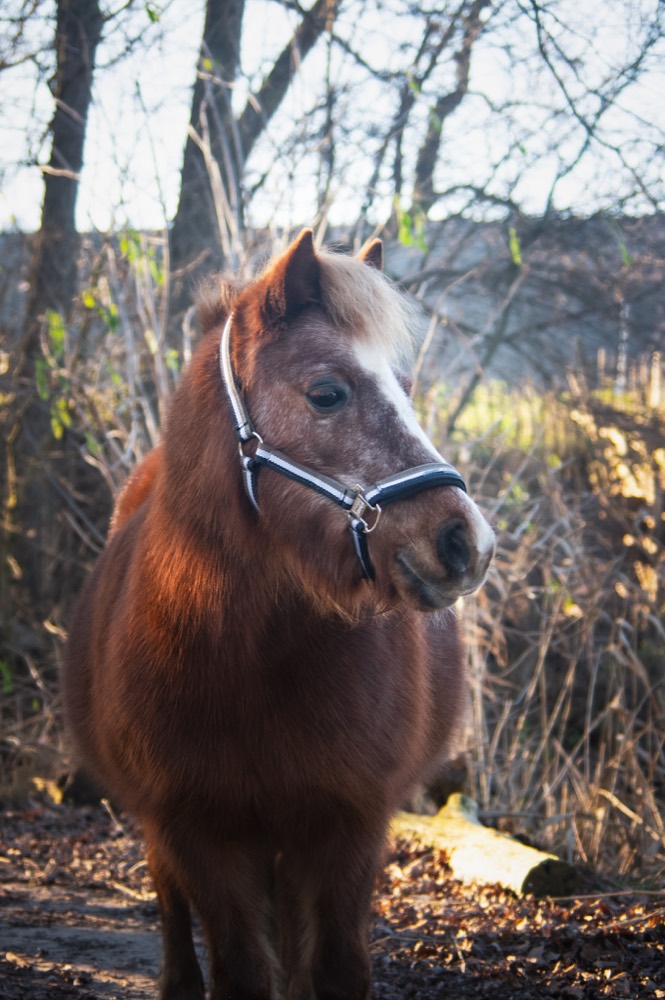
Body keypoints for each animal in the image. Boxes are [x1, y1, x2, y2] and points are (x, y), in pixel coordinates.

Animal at [62, 229, 494, 1000]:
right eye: (326, 393)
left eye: (407, 391)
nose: (465, 541)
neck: (246, 657)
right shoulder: (196, 831)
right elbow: (238, 969)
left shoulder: (348, 828)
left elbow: (336, 968)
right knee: (171, 908)